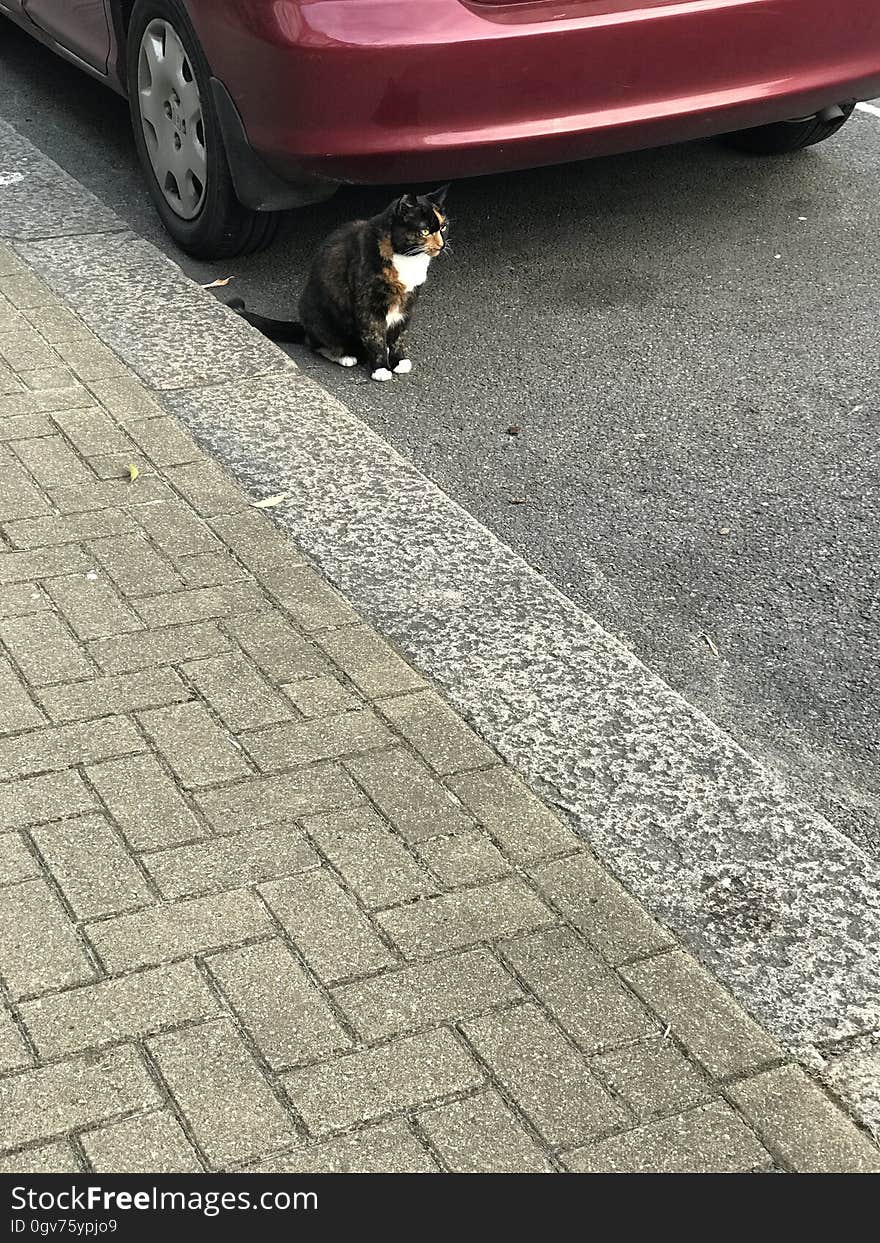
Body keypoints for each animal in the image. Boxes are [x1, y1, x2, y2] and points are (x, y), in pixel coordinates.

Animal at [229, 183, 449, 377]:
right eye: (424, 231)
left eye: (443, 227)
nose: (441, 245)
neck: (406, 258)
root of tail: (304, 326)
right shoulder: (367, 303)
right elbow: (374, 335)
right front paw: (381, 368)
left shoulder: (407, 303)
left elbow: (399, 333)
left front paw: (399, 360)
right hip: (324, 320)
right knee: (317, 345)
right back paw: (344, 356)